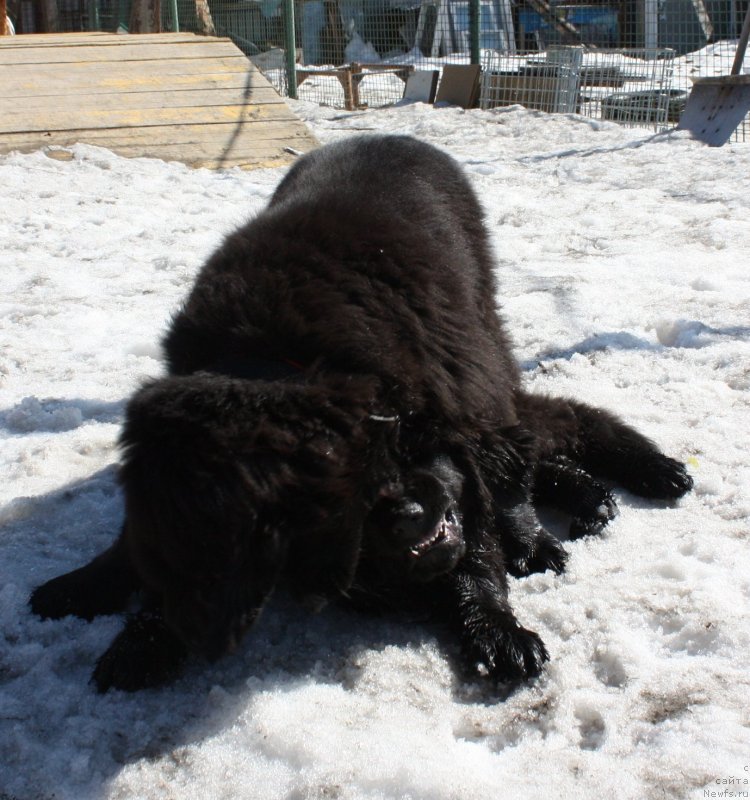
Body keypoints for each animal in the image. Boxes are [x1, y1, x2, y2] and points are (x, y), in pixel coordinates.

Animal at [30, 134, 692, 692]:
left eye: (388, 445)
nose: (409, 518)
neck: (275, 354)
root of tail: (386, 134)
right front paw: (125, 614)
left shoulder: (452, 409)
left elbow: (479, 529)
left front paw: (495, 630)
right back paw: (588, 497)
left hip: (483, 342)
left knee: (538, 435)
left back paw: (627, 485)